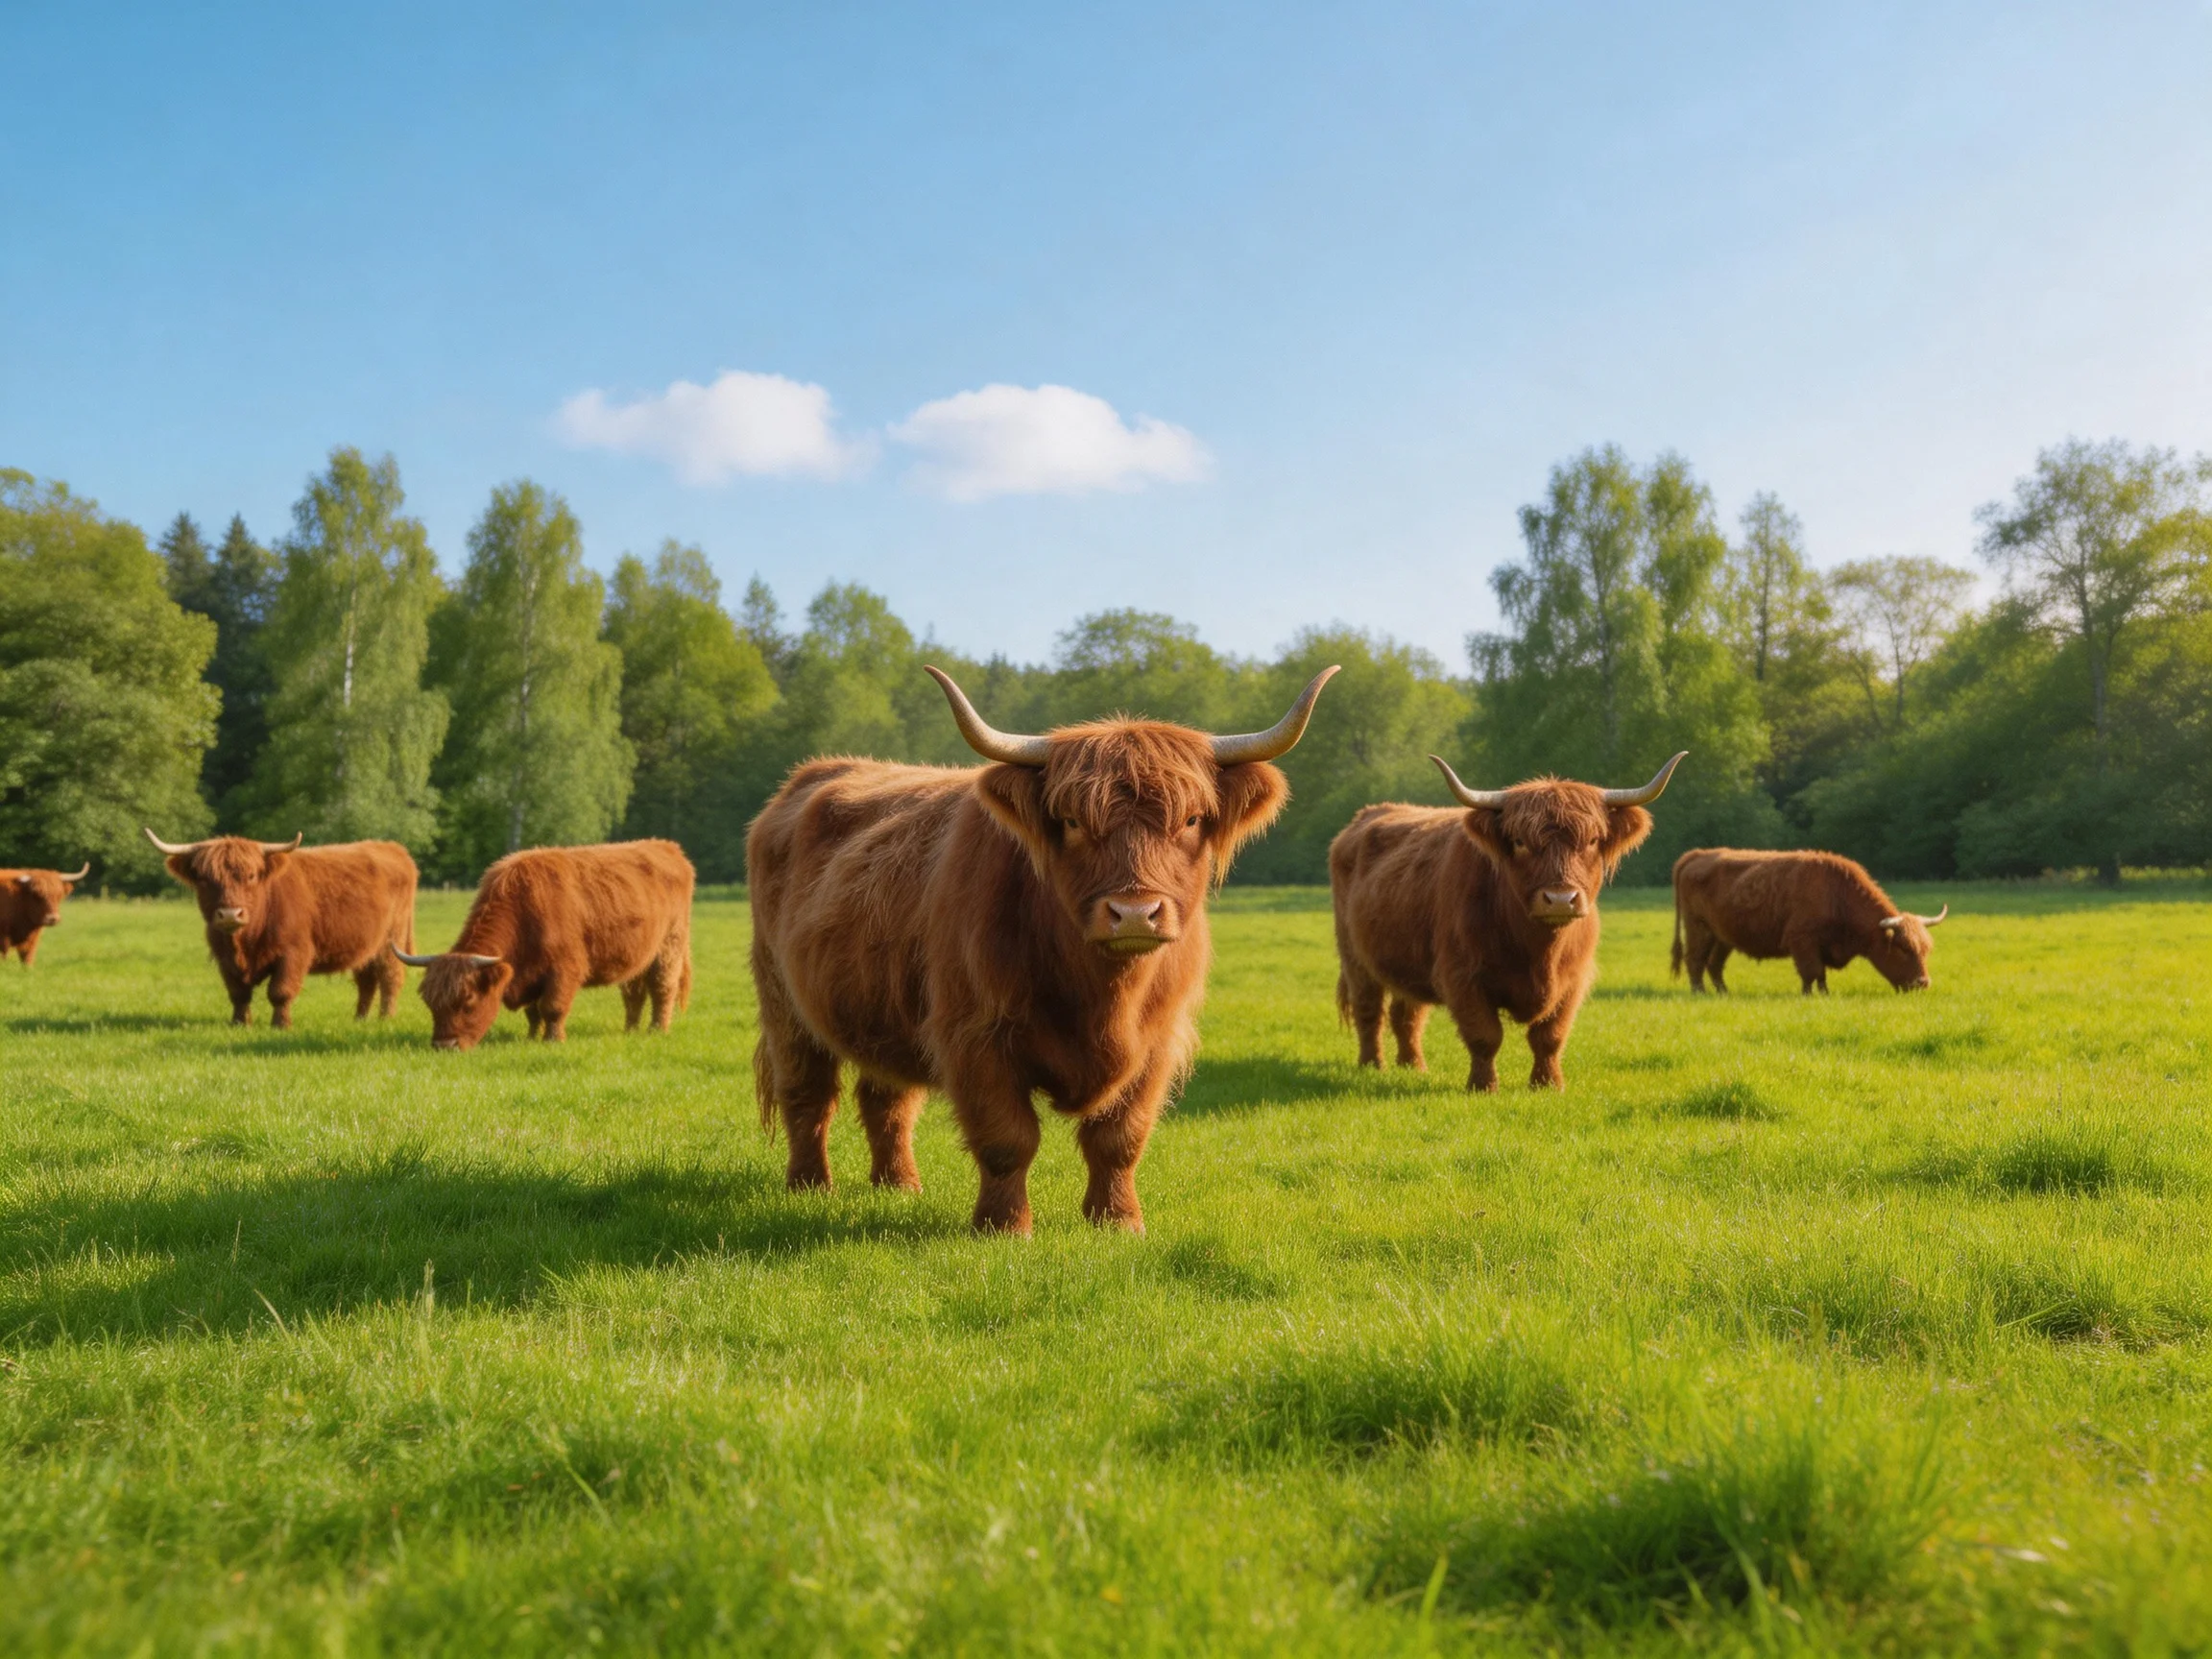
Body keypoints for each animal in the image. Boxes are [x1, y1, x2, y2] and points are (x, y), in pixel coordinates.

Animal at [145, 829, 419, 1028]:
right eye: (204, 879)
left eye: (251, 876)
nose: (230, 914)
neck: (245, 942)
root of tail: (392, 847)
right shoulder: (224, 958)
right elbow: (238, 993)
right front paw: (239, 1023)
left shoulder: (293, 953)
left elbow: (280, 991)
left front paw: (281, 1024)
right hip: (366, 946)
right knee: (366, 982)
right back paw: (359, 1019)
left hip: (391, 942)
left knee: (390, 978)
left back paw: (385, 1018)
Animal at [395, 840, 695, 1050]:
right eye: (430, 1003)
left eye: (468, 1001)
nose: (444, 1046)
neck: (525, 910)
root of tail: (667, 847)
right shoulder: (529, 973)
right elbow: (533, 1011)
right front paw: (530, 1037)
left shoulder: (564, 970)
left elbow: (552, 1007)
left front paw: (553, 1040)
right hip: (637, 958)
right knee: (634, 994)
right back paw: (630, 1030)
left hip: (669, 948)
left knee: (662, 989)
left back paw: (657, 1030)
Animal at [747, 664, 1338, 1236]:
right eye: (1073, 822)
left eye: (1191, 820)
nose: (1134, 913)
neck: (1103, 996)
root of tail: (812, 775)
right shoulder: (974, 1034)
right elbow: (1008, 1138)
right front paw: (1005, 1227)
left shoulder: (1157, 1042)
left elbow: (1119, 1138)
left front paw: (1118, 1222)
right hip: (783, 1001)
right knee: (807, 1093)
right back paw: (810, 1187)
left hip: (883, 1008)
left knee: (888, 1099)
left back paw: (899, 1186)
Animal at [1329, 752, 1685, 1091]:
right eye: (1520, 842)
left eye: (1593, 840)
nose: (1560, 899)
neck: (1539, 951)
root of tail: (1368, 815)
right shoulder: (1462, 976)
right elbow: (1484, 1036)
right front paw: (1483, 1086)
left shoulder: (1573, 979)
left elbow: (1550, 1037)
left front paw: (1547, 1084)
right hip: (1354, 957)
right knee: (1369, 1010)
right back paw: (1372, 1065)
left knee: (1407, 1015)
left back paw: (1413, 1066)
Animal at [1671, 847, 1947, 994]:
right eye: (1903, 948)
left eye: (1926, 950)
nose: (1923, 983)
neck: (1837, 893)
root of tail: (1698, 854)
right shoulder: (1802, 941)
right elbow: (1811, 971)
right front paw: (1807, 995)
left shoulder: (1822, 947)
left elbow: (1821, 975)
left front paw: (1825, 994)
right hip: (1698, 928)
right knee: (1695, 961)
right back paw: (1699, 992)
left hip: (1723, 937)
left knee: (1714, 965)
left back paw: (1724, 993)